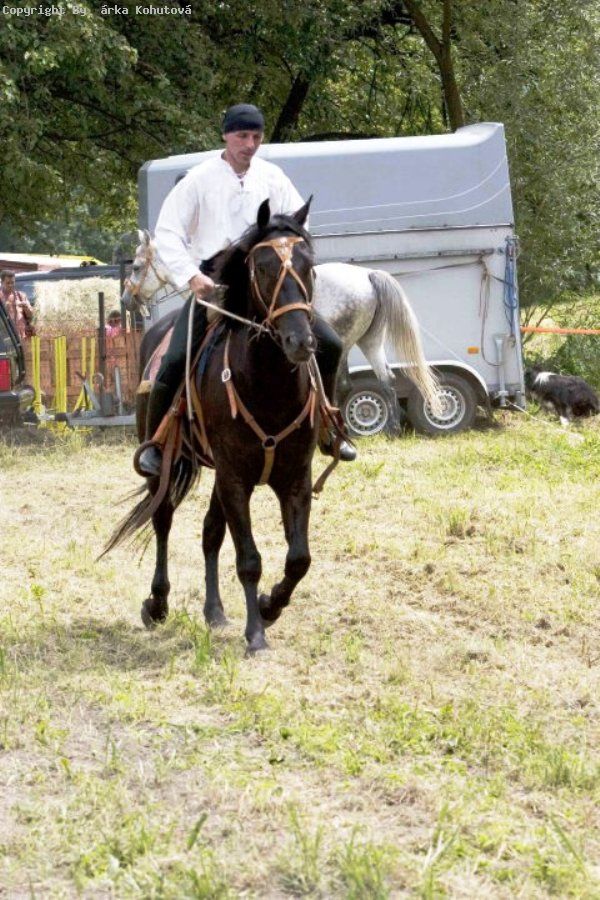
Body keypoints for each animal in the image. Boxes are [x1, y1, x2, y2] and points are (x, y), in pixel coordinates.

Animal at [106, 199, 334, 654]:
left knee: (211, 532)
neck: (267, 386)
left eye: (309, 264)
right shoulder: (234, 479)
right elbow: (249, 559)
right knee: (163, 519)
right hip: (169, 463)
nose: (300, 341)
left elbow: (298, 558)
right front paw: (256, 634)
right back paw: (157, 603)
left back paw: (214, 611)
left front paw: (268, 606)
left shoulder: (294, 477)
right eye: (262, 267)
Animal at [123, 230, 439, 430]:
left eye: (136, 266)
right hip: (369, 341)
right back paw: (390, 429)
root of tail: (369, 275)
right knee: (385, 379)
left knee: (347, 384)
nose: (127, 299)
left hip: (347, 341)